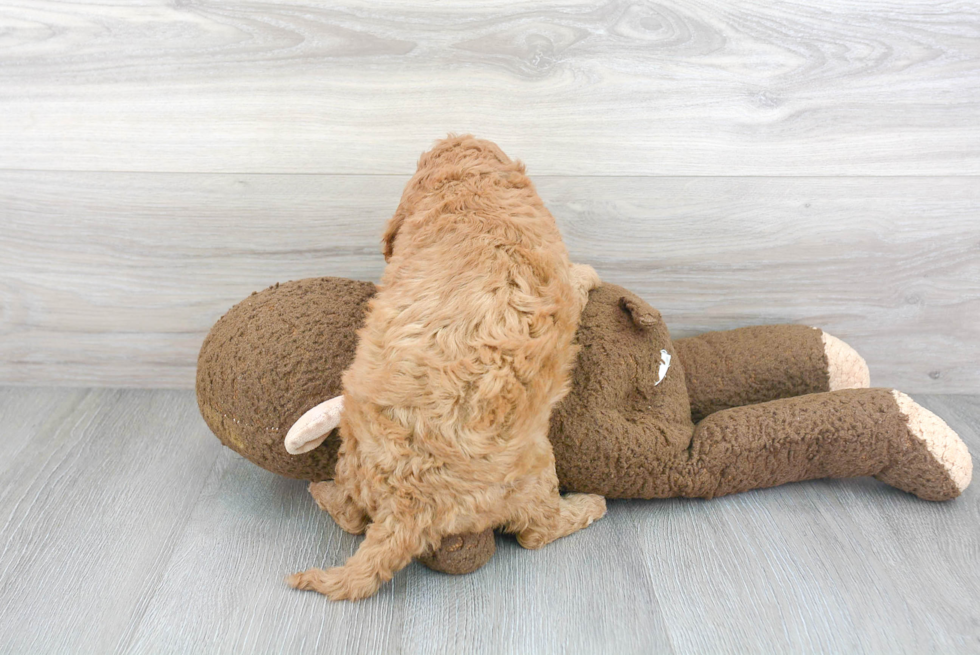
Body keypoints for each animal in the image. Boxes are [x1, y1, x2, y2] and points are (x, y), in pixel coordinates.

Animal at [286, 136, 604, 604]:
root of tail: (407, 506)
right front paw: (590, 272)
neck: (468, 188)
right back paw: (590, 504)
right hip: (533, 468)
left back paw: (323, 492)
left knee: (351, 513)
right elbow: (576, 280)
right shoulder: (554, 268)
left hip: (354, 450)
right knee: (536, 531)